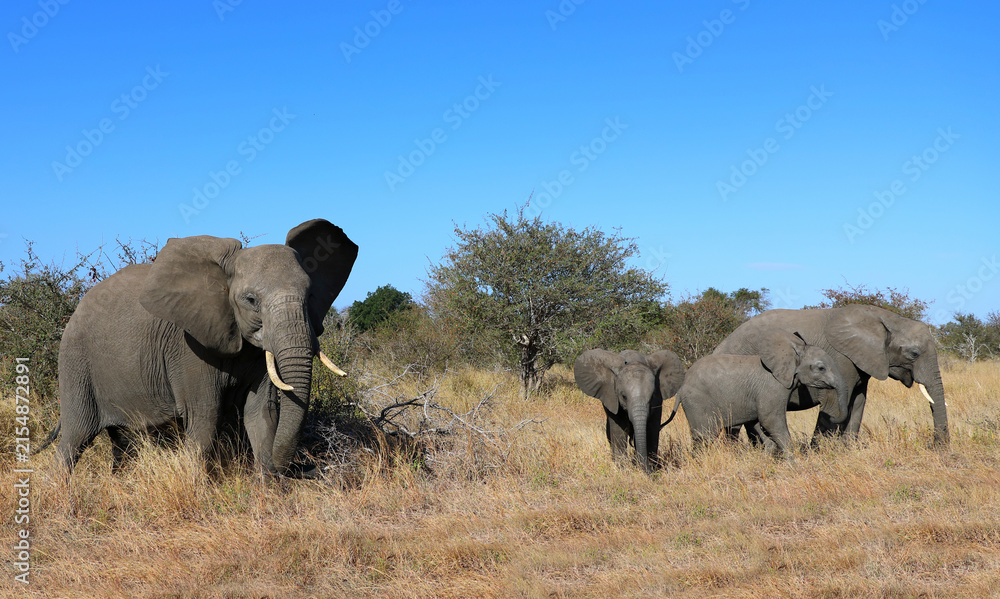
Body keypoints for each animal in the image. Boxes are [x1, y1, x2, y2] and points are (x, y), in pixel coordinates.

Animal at [37, 219, 357, 476]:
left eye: (311, 295)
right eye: (251, 300)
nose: (309, 467)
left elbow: (262, 413)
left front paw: (269, 494)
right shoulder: (188, 346)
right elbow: (204, 416)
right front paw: (199, 487)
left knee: (122, 443)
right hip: (76, 363)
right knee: (75, 438)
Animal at [662, 329, 850, 457]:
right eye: (821, 368)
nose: (833, 417)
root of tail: (682, 387)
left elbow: (758, 423)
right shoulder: (772, 388)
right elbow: (770, 420)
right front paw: (794, 463)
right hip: (697, 402)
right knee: (705, 436)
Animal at [713, 305, 948, 446]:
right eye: (914, 354)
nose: (936, 447)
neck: (884, 318)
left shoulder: (861, 363)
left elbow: (858, 402)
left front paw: (849, 449)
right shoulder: (841, 358)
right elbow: (834, 403)